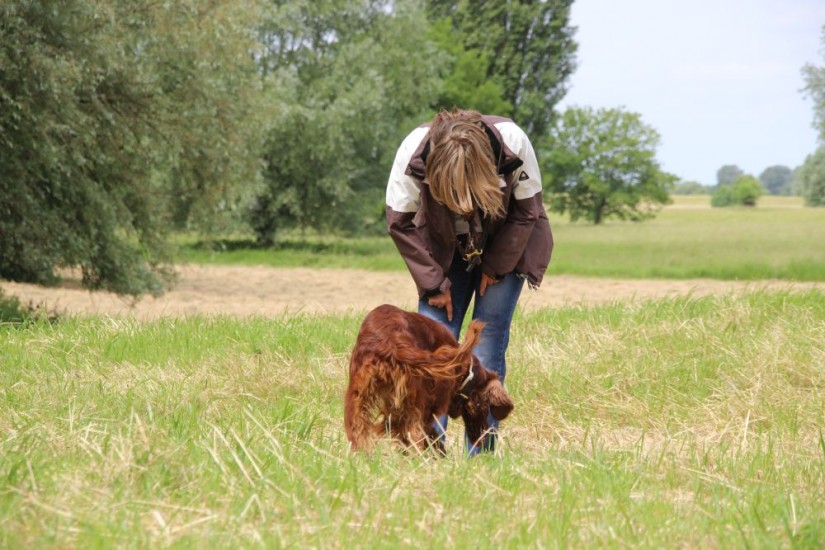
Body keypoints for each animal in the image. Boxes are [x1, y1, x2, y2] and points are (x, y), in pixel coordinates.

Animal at [344, 304, 514, 453]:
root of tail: (391, 343)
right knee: (415, 435)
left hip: (358, 398)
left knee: (358, 430)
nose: (485, 436)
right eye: (485, 407)